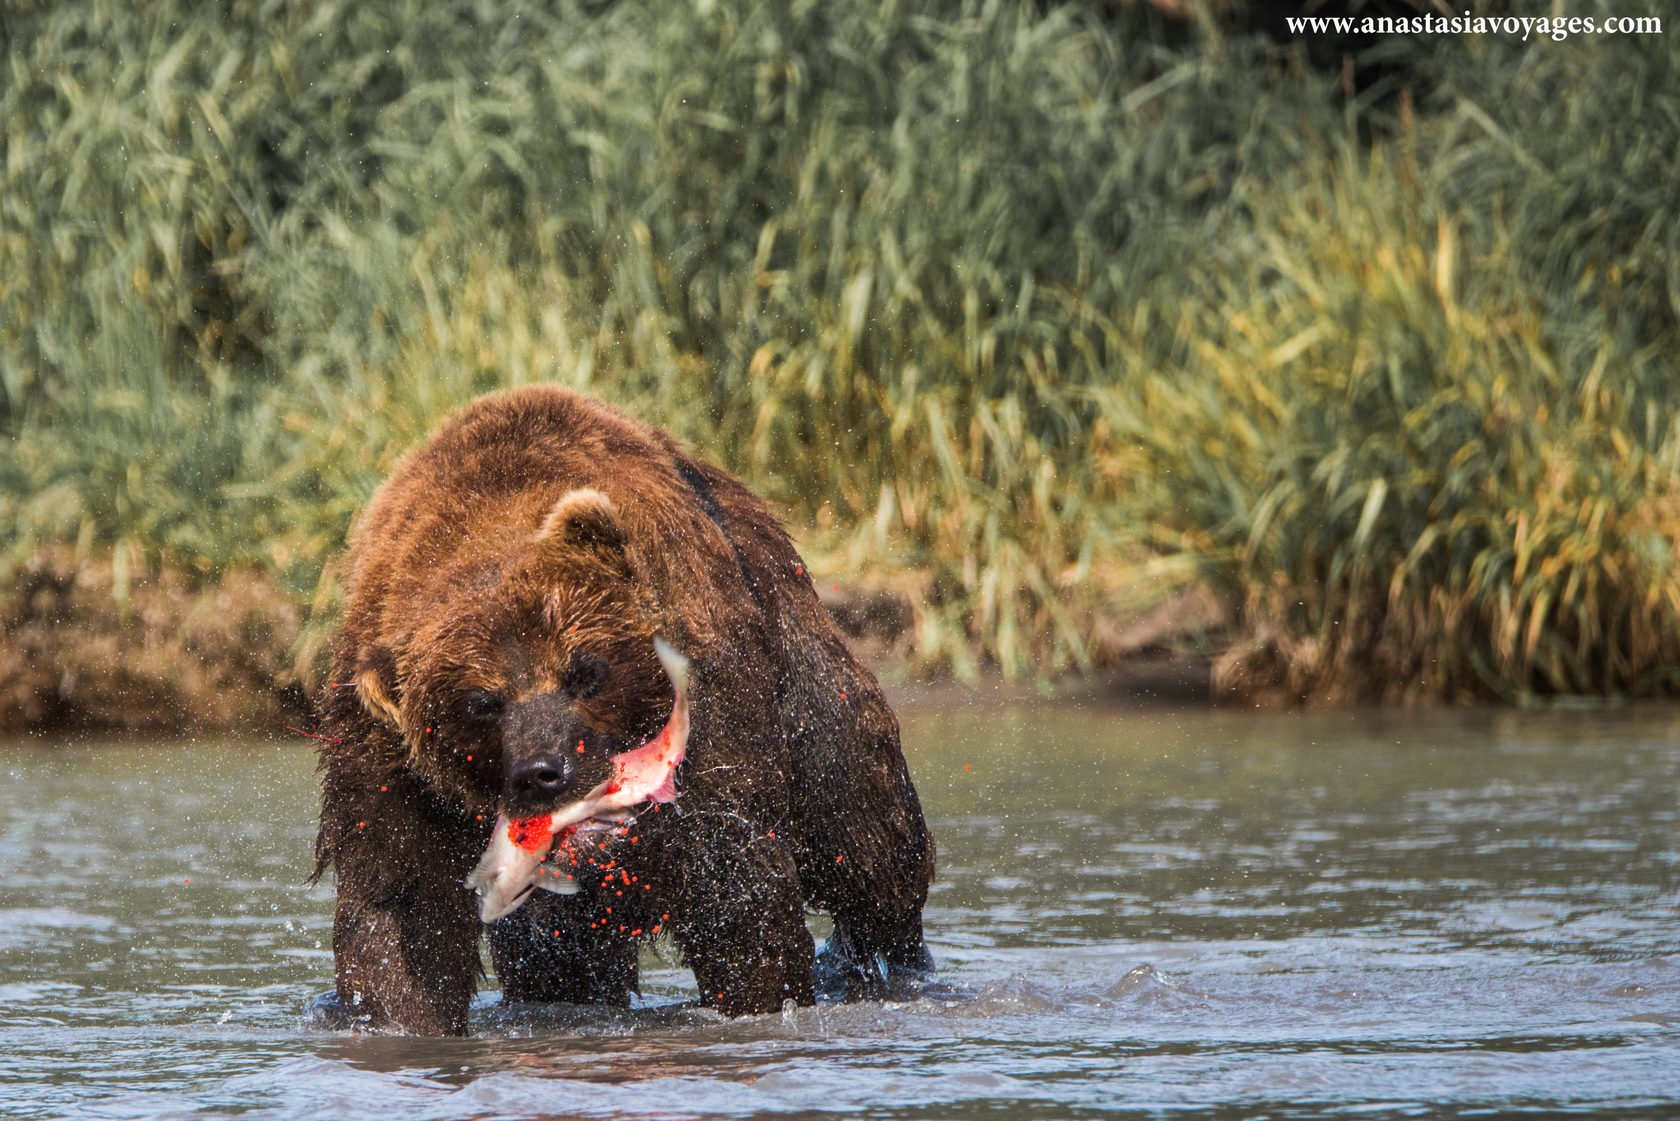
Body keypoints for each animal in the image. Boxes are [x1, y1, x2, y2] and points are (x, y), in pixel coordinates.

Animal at [312, 386, 934, 1035]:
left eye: (584, 669)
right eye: (481, 704)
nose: (544, 771)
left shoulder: (710, 698)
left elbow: (738, 881)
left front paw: (764, 998)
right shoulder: (388, 766)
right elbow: (402, 909)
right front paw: (401, 1018)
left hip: (799, 654)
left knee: (864, 827)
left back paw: (889, 959)